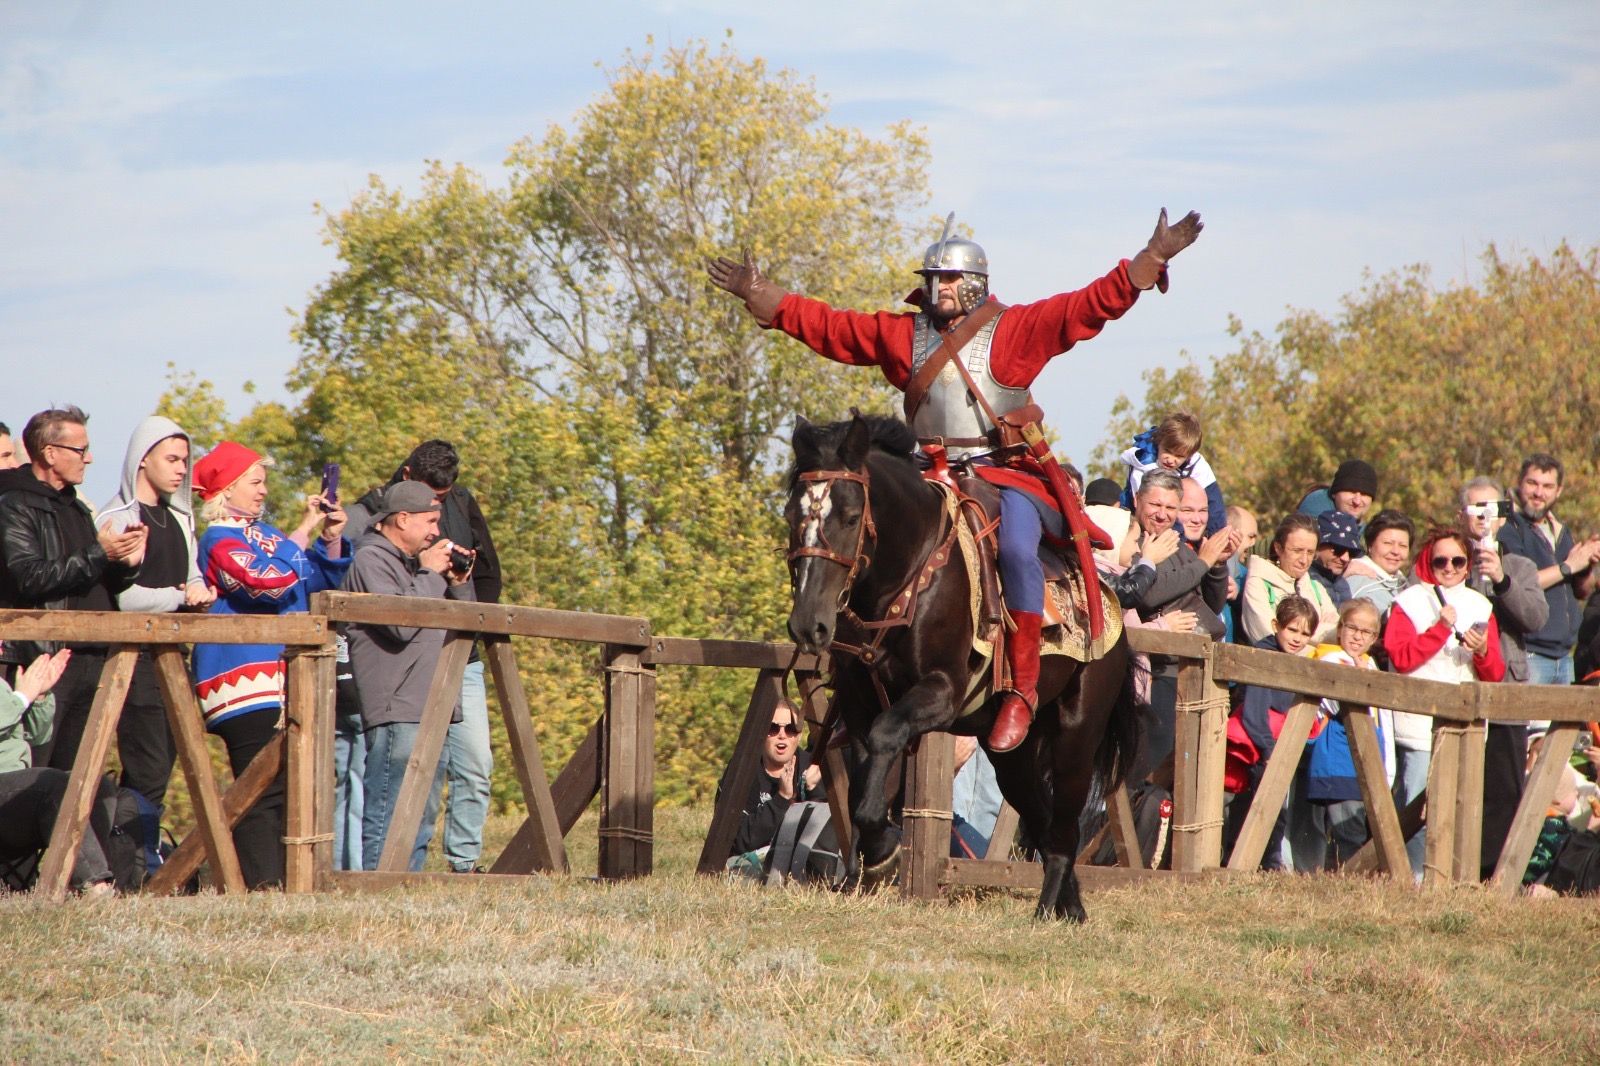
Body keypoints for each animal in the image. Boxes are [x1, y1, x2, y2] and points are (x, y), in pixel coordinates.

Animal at [787, 409, 1139, 915]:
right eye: (791, 516)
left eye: (852, 517)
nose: (807, 625)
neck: (907, 574)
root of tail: (1111, 613)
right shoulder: (857, 704)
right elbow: (861, 781)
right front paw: (874, 856)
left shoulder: (942, 691)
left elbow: (885, 741)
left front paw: (886, 849)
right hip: (1012, 757)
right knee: (1042, 821)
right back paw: (1068, 910)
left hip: (1076, 739)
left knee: (1063, 831)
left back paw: (1047, 909)